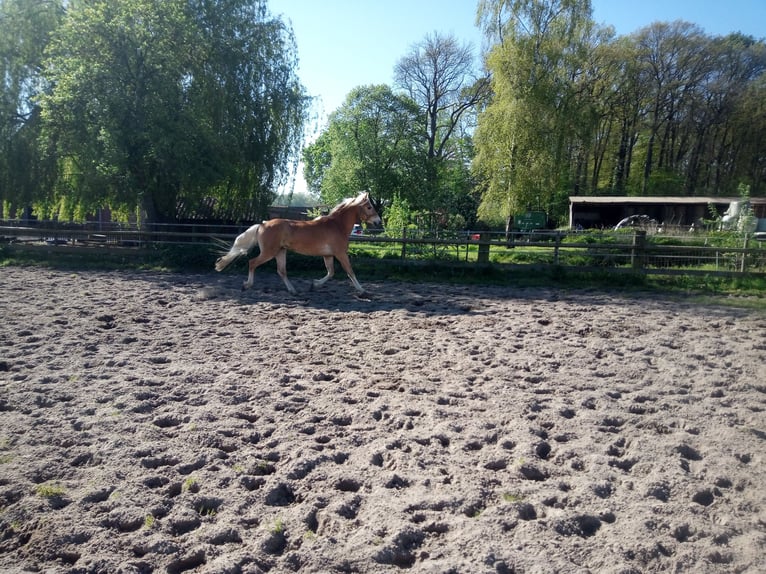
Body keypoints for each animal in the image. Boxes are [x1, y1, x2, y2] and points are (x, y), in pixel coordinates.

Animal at [215, 192, 381, 295]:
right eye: (369, 207)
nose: (379, 221)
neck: (337, 225)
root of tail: (262, 224)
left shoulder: (328, 255)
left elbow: (331, 272)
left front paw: (314, 285)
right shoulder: (340, 254)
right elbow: (350, 272)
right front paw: (363, 291)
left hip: (280, 251)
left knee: (281, 271)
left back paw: (293, 291)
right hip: (269, 252)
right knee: (252, 263)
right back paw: (247, 285)